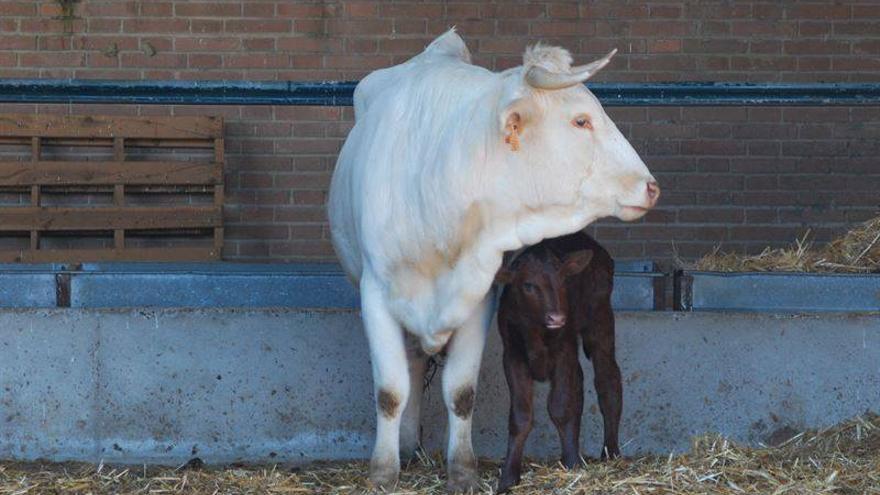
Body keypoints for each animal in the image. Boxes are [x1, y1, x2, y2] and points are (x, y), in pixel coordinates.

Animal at [498, 232, 624, 492]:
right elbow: (520, 416)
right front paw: (508, 477)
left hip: (601, 320)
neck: (535, 330)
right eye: (528, 285)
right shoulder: (512, 355)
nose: (557, 317)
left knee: (608, 382)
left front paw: (572, 464)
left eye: (563, 280)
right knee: (581, 384)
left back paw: (611, 452)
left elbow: (561, 407)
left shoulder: (564, 349)